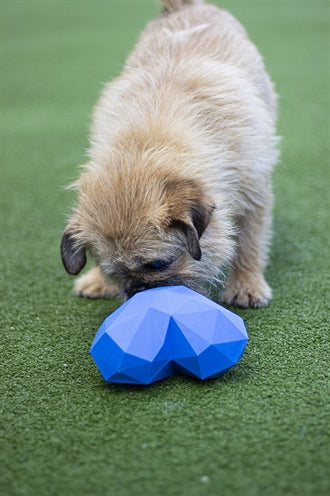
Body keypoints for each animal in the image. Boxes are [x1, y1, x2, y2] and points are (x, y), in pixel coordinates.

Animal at [60, 0, 278, 308]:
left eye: (157, 265)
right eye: (115, 272)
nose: (136, 291)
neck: (146, 145)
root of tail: (184, 7)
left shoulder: (253, 192)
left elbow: (249, 243)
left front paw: (246, 284)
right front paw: (99, 280)